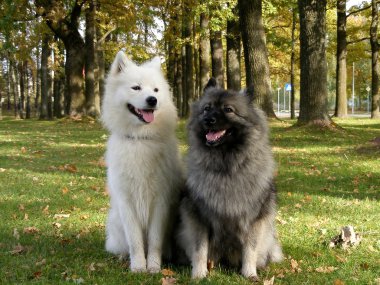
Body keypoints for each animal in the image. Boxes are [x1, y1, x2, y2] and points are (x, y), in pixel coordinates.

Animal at [101, 51, 183, 272]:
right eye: (136, 87)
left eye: (155, 90)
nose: (152, 100)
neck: (140, 140)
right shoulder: (127, 202)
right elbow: (135, 240)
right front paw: (138, 266)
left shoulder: (160, 201)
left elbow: (154, 240)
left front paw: (153, 266)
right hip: (115, 222)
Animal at [177, 78, 282, 280]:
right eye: (206, 109)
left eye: (228, 110)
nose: (208, 120)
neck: (226, 166)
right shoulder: (198, 216)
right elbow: (200, 249)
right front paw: (199, 274)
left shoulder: (253, 219)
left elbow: (250, 249)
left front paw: (249, 273)